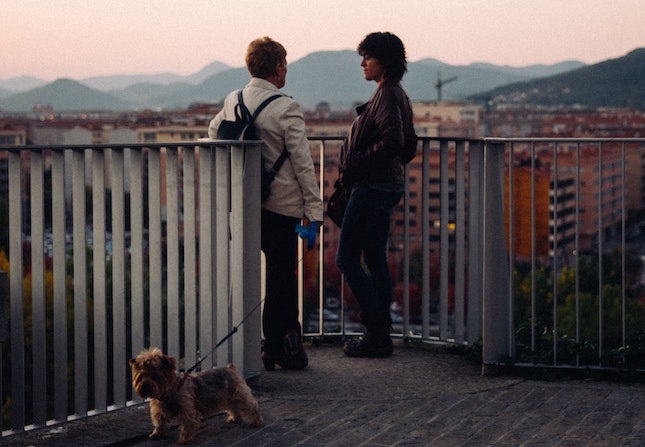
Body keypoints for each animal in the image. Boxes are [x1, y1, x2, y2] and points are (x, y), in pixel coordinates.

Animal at [128, 348, 262, 442]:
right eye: (141, 376)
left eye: (155, 375)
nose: (144, 385)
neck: (170, 390)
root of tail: (230, 368)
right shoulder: (159, 409)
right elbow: (159, 421)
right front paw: (157, 433)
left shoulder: (187, 410)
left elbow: (187, 423)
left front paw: (184, 439)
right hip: (229, 396)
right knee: (233, 407)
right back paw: (235, 418)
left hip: (238, 393)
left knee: (251, 405)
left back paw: (256, 421)